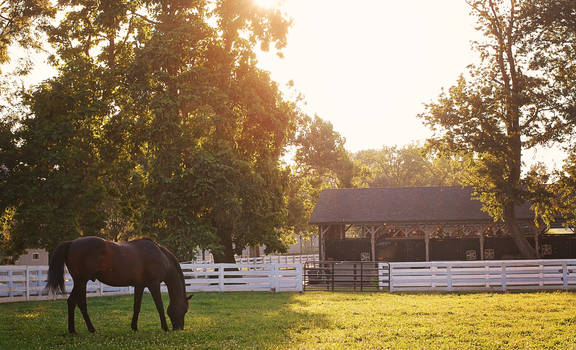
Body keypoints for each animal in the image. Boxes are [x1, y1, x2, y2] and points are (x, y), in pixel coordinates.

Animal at [45, 237, 191, 332]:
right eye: (184, 310)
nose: (179, 328)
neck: (162, 257)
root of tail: (72, 243)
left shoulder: (140, 286)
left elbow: (137, 306)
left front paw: (134, 327)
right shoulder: (153, 284)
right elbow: (159, 306)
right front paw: (165, 328)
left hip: (80, 282)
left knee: (72, 302)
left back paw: (73, 330)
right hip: (81, 281)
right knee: (79, 303)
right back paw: (90, 329)